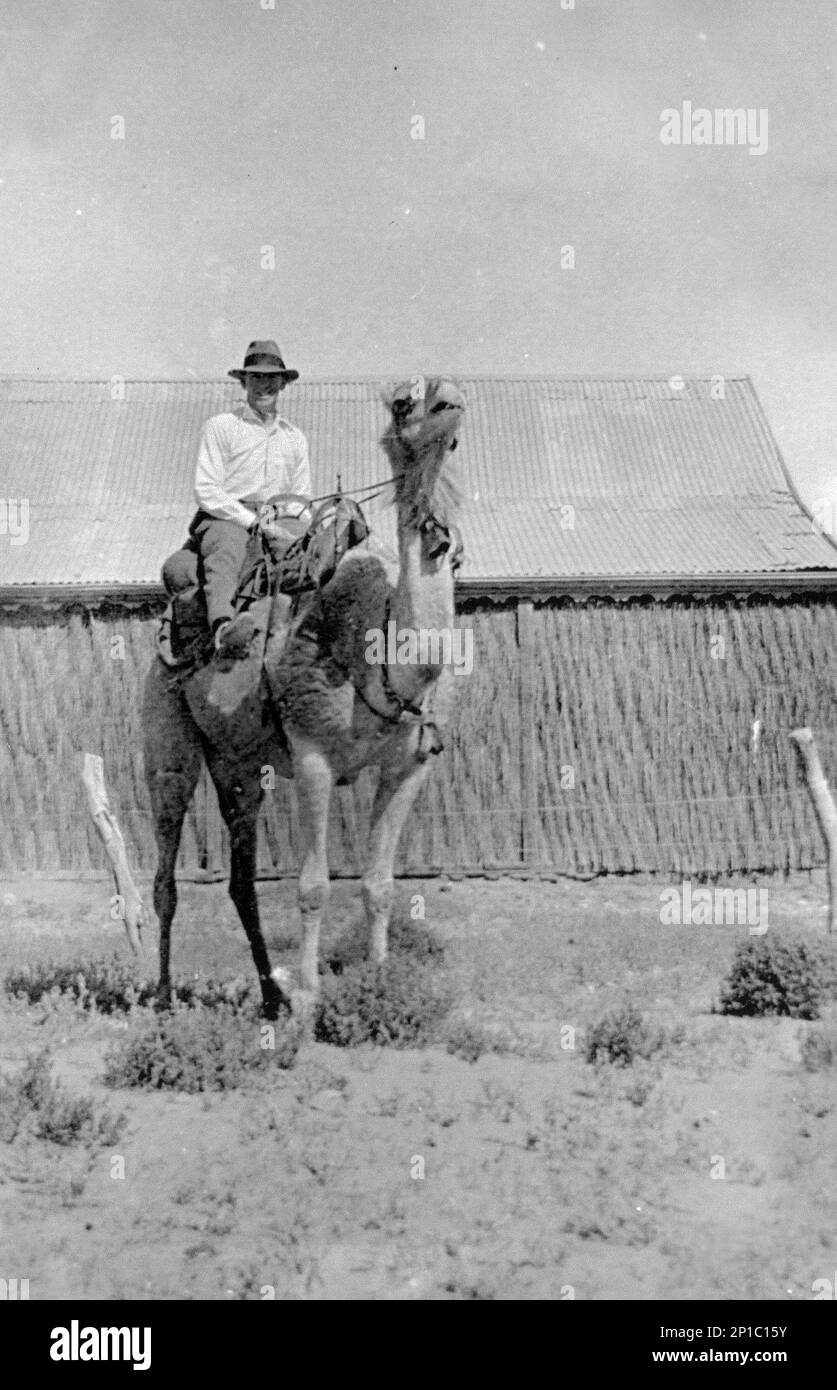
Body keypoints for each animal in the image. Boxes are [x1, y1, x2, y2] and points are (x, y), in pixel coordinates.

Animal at [145, 375, 469, 1017]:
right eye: (404, 403)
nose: (449, 399)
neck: (387, 658)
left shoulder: (410, 765)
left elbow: (379, 884)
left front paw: (380, 985)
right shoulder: (315, 755)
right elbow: (314, 885)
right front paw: (311, 1001)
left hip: (239, 763)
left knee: (241, 879)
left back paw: (269, 995)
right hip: (167, 735)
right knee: (166, 867)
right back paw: (167, 996)